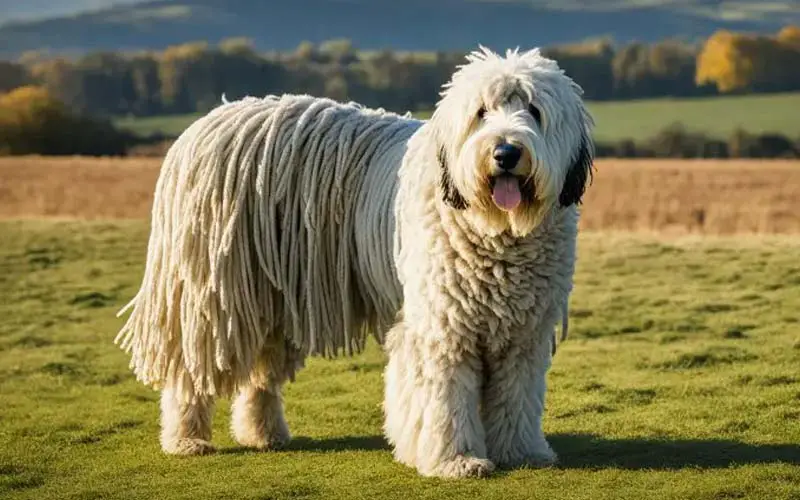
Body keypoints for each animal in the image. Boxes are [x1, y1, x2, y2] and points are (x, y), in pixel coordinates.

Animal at [117, 47, 592, 480]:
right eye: (481, 113)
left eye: (533, 111)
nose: (506, 152)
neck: (496, 233)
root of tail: (207, 122)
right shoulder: (442, 327)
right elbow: (446, 400)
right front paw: (455, 460)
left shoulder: (523, 334)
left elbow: (516, 396)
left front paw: (521, 452)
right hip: (214, 292)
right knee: (191, 370)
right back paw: (186, 438)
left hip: (278, 297)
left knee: (261, 376)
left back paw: (263, 433)